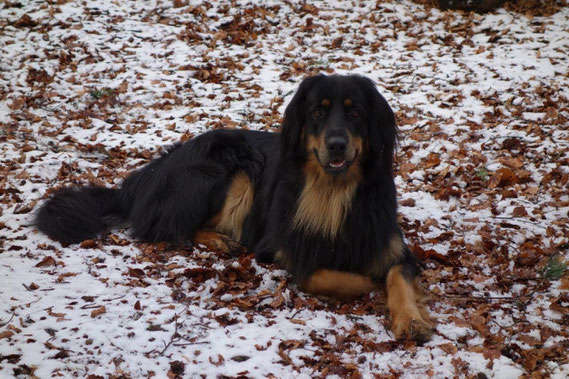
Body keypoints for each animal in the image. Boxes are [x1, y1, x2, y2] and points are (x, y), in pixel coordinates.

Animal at [35, 73, 432, 342]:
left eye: (356, 114)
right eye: (318, 113)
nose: (336, 145)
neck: (332, 191)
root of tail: (148, 172)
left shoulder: (390, 245)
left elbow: (398, 277)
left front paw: (411, 319)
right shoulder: (280, 246)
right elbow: (320, 274)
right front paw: (364, 281)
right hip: (233, 169)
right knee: (168, 228)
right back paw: (219, 240)